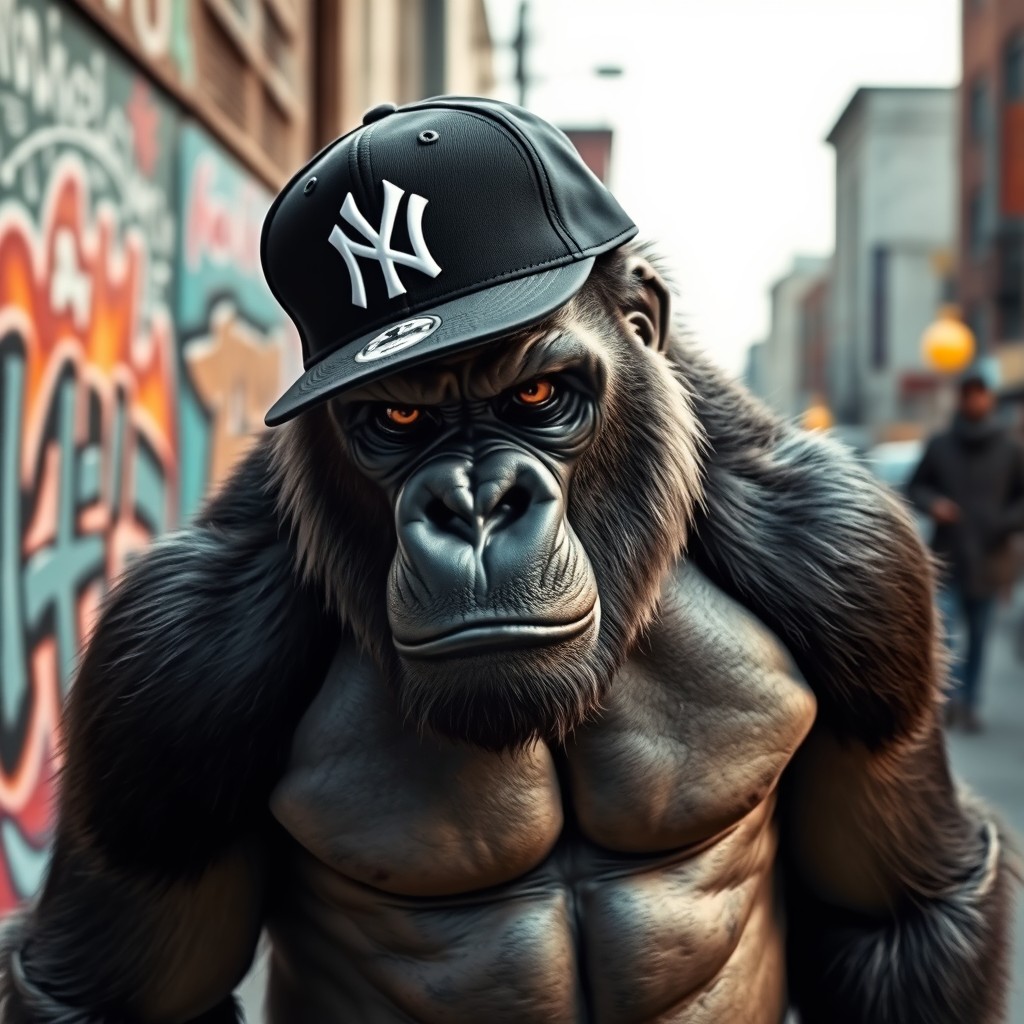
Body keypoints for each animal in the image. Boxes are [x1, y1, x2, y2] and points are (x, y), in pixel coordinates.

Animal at [0, 96, 1015, 1024]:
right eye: (397, 417)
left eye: (535, 393)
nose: (475, 505)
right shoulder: (167, 675)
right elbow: (106, 998)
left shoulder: (855, 572)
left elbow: (897, 912)